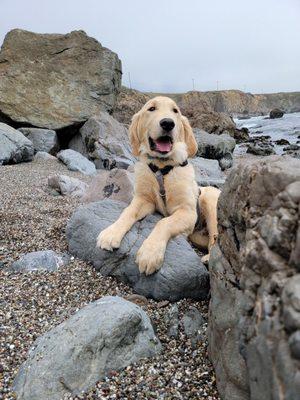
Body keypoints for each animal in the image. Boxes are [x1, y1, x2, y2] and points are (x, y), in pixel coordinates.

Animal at [97, 95, 219, 274]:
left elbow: (164, 222)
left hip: (210, 200)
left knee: (215, 237)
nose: (168, 123)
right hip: (197, 235)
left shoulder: (187, 211)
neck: (162, 168)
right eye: (152, 108)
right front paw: (111, 232)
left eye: (175, 111)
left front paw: (150, 253)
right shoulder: (143, 199)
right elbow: (128, 212)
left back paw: (209, 258)